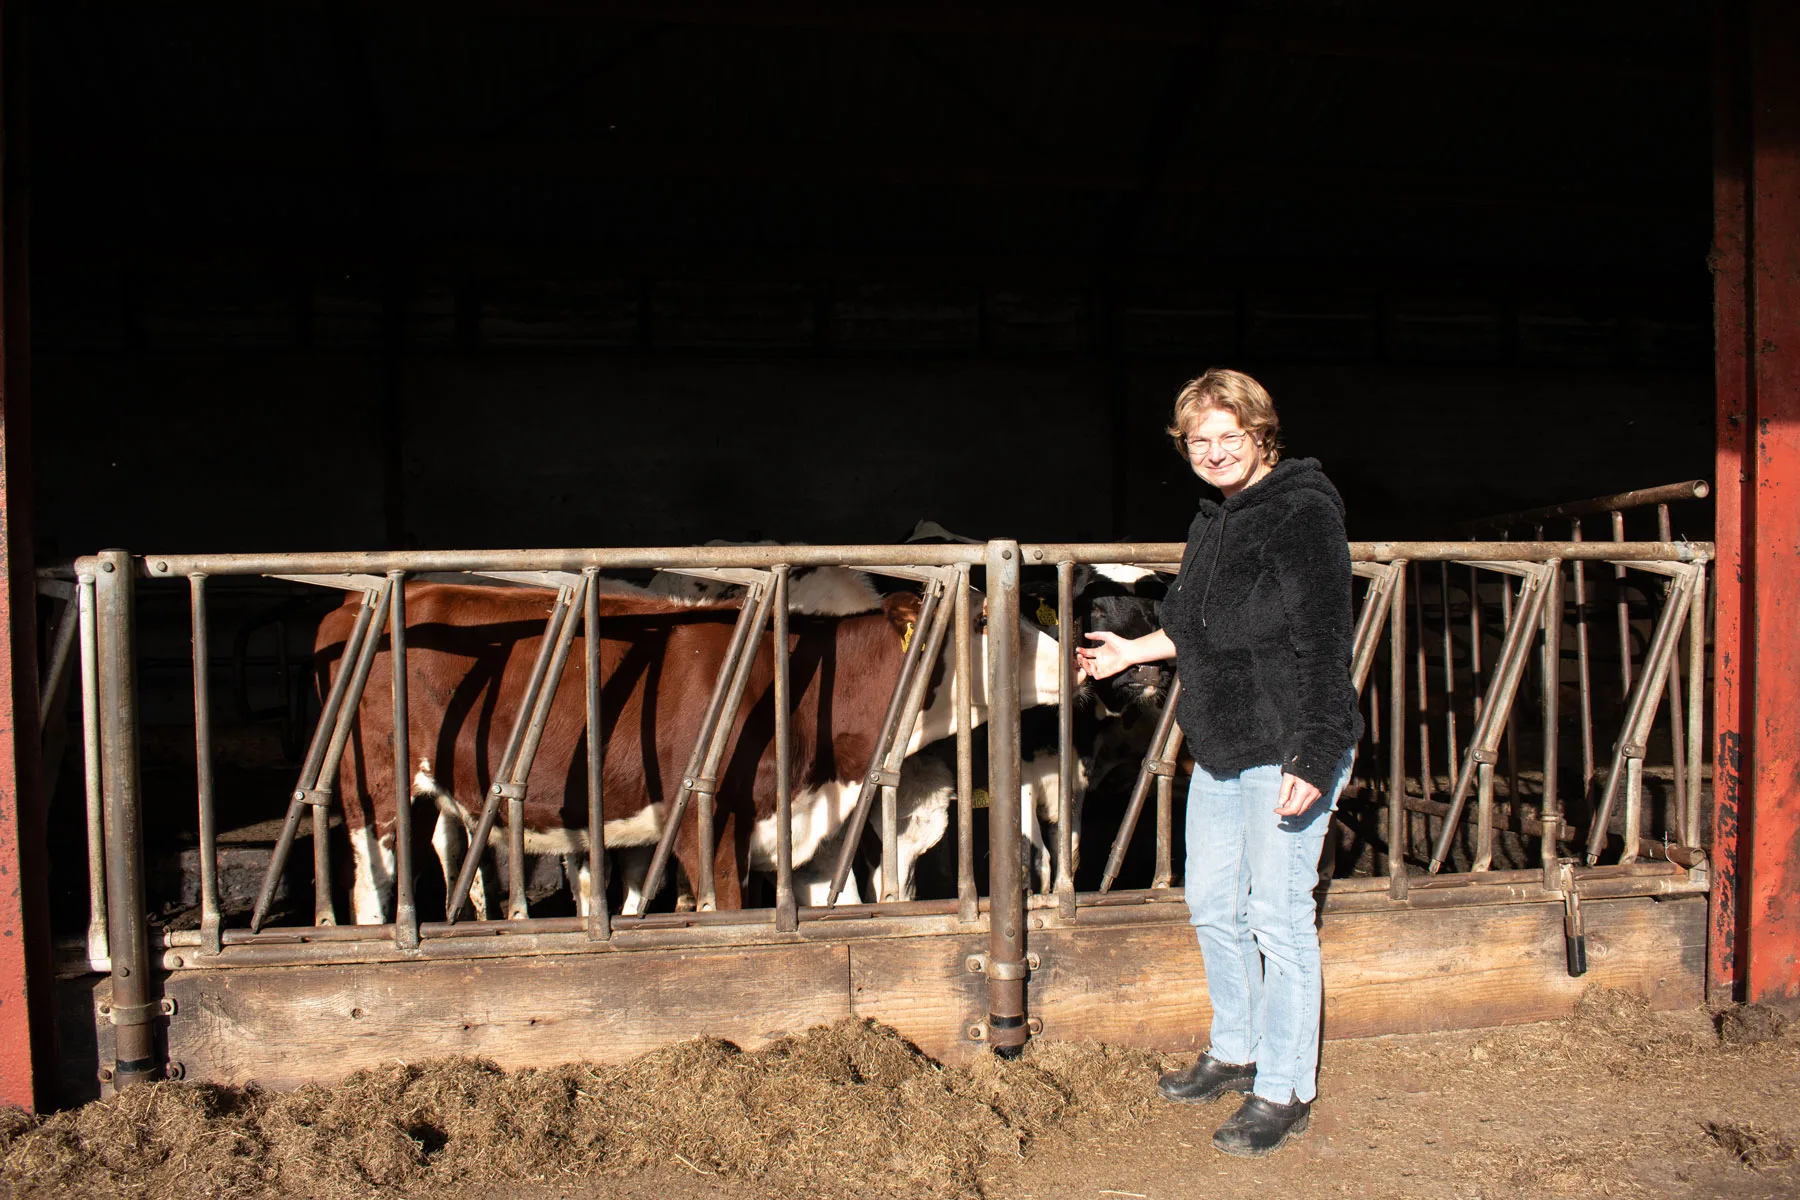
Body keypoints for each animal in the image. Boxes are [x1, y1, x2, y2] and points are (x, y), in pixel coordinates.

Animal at [322, 575, 1058, 928]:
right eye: (985, 620)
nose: (1074, 658)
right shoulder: (709, 828)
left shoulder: (808, 833)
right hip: (371, 789)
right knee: (371, 886)